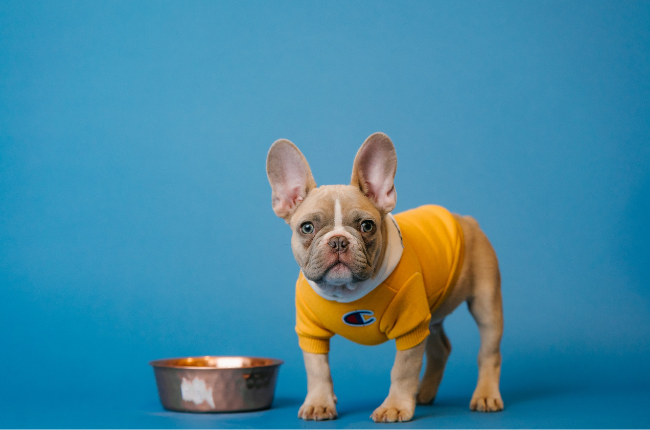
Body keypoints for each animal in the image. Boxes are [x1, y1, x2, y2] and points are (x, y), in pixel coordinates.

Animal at [266, 134, 504, 424]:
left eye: (367, 226)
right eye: (307, 228)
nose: (338, 240)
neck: (346, 291)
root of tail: (467, 220)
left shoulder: (411, 326)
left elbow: (402, 370)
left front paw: (395, 406)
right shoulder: (311, 331)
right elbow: (317, 369)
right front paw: (319, 403)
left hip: (485, 303)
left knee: (489, 351)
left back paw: (485, 395)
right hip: (432, 314)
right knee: (440, 349)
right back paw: (424, 393)